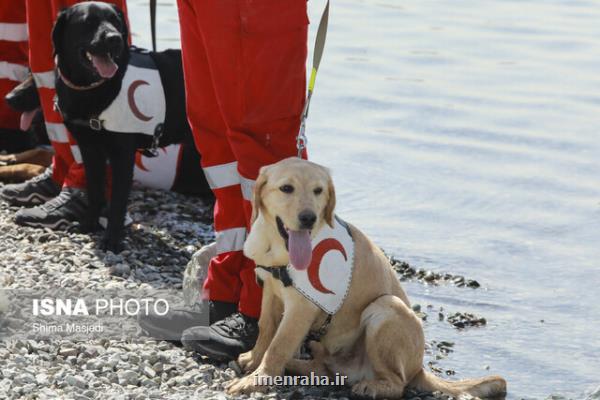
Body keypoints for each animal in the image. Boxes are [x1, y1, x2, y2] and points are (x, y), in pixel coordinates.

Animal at [52, 2, 202, 253]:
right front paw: (88, 224)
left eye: (116, 21)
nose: (114, 39)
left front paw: (112, 240)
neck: (91, 88)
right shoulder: (89, 149)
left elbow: (117, 201)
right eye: (88, 21)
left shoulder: (122, 154)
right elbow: (94, 190)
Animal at [229, 158, 506, 398]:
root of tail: (420, 369)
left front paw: (258, 379)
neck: (278, 249)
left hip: (386, 308)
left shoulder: (301, 307)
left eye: (318, 191)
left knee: (397, 383)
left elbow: (278, 345)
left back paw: (371, 386)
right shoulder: (270, 290)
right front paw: (254, 360)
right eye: (286, 188)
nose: (309, 218)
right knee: (325, 368)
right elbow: (266, 329)